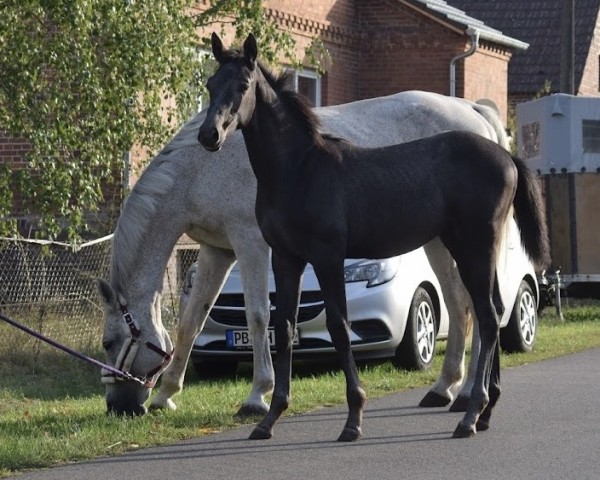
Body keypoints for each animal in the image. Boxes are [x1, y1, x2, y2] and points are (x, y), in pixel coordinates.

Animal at [197, 31, 548, 440]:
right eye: (210, 84)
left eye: (243, 85)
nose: (209, 135)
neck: (298, 170)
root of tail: (508, 158)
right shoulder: (286, 258)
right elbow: (283, 327)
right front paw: (270, 418)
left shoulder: (328, 256)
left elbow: (339, 326)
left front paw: (353, 419)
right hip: (473, 249)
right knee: (494, 307)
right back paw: (486, 410)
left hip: (474, 247)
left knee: (489, 317)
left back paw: (470, 414)